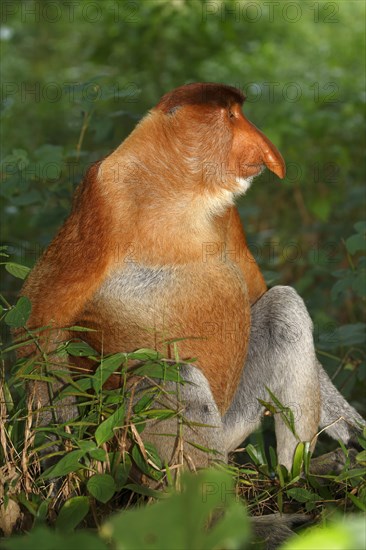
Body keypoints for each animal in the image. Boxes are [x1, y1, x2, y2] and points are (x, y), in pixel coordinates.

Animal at [19, 81, 364, 474]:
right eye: (231, 116)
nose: (266, 150)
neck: (180, 191)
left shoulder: (228, 215)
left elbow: (257, 295)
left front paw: (354, 428)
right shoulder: (100, 198)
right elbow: (41, 319)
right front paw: (53, 459)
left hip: (231, 421)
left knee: (283, 306)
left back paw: (293, 475)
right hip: (127, 439)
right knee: (172, 377)